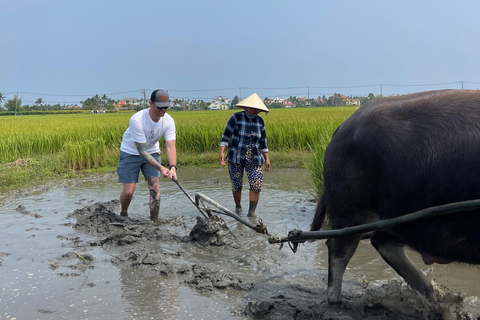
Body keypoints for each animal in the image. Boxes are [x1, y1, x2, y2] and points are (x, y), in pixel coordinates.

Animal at [312, 89, 480, 304]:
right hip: (348, 210)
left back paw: (434, 295)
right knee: (339, 249)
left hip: (396, 217)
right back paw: (336, 299)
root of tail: (342, 127)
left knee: (384, 244)